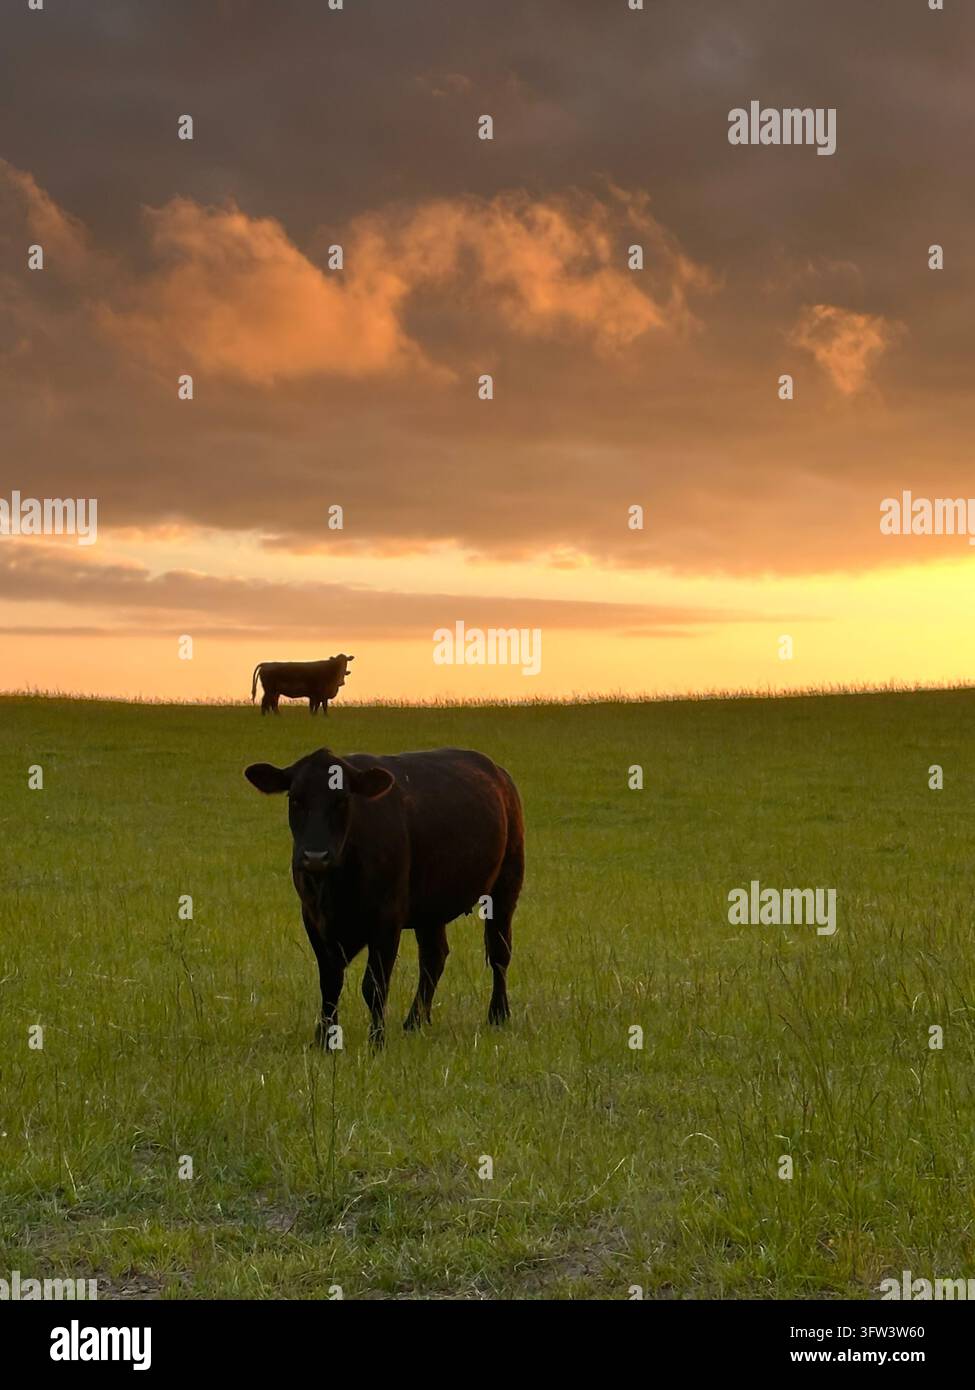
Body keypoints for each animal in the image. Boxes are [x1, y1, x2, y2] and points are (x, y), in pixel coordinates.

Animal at [244, 746, 524, 1046]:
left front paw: (376, 1041)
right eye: (295, 799)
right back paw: (414, 1021)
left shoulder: (387, 918)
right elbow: (330, 983)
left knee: (499, 952)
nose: (315, 857)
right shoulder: (313, 918)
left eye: (342, 800)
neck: (335, 886)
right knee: (434, 957)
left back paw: (498, 1014)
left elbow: (374, 985)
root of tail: (497, 772)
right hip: (430, 908)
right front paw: (325, 1040)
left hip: (506, 887)